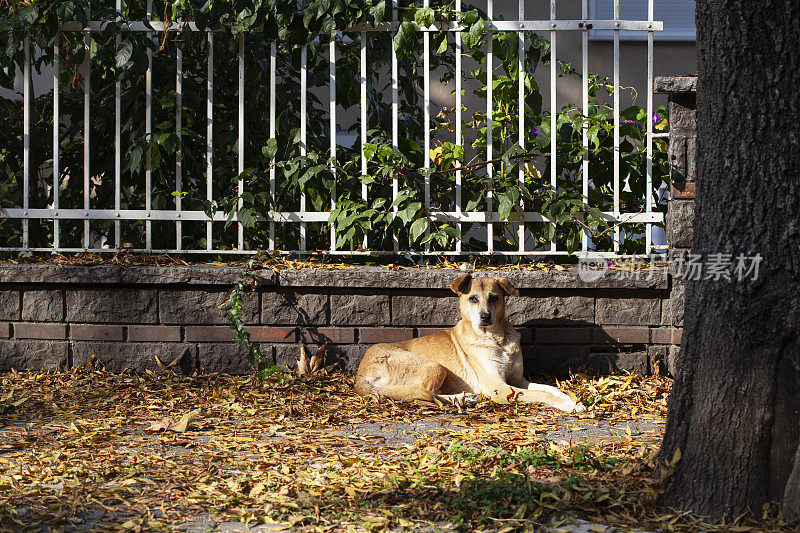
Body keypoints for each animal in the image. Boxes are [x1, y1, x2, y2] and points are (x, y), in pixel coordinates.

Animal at [356, 274, 588, 412]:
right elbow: (541, 393)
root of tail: (359, 374)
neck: (497, 340)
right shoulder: (499, 388)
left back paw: (465, 399)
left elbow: (549, 388)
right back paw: (461, 399)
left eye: (494, 297)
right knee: (425, 394)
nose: (485, 316)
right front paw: (569, 405)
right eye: (473, 298)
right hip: (434, 366)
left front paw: (571, 398)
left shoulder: (518, 380)